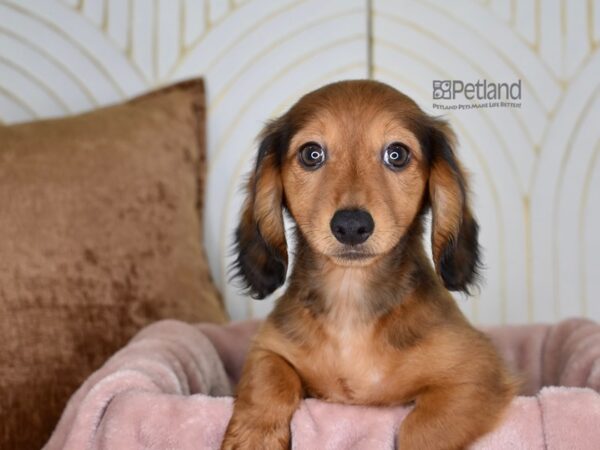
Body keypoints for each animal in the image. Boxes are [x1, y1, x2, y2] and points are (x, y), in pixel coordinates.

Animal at [221, 81, 516, 450]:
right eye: (311, 154)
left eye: (397, 154)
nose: (351, 225)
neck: (350, 297)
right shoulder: (269, 348)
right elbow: (268, 380)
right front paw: (253, 436)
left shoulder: (479, 372)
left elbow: (421, 427)